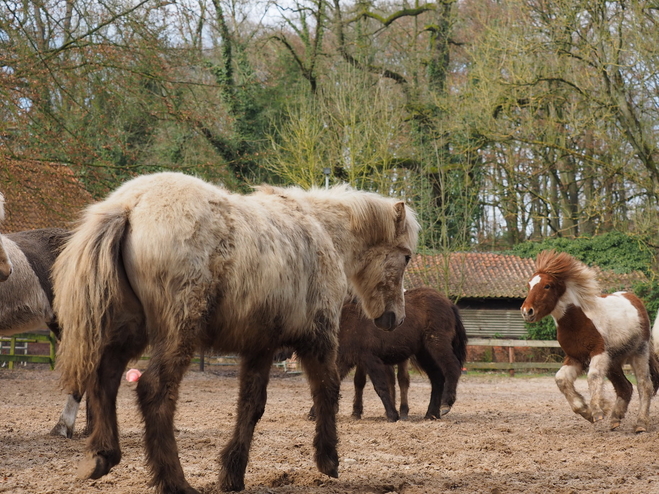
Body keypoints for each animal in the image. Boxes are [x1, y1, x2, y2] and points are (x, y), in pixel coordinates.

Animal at [54, 173, 420, 494]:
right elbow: (327, 391)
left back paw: (102, 457)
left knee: (104, 378)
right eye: (406, 257)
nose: (395, 318)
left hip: (128, 330)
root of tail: (130, 205)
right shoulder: (319, 339)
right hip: (176, 334)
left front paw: (232, 473)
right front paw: (328, 460)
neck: (320, 229)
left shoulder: (260, 347)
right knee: (154, 390)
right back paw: (175, 482)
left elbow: (251, 405)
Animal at [336, 288, 464, 422]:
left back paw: (445, 404)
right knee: (437, 378)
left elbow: (381, 386)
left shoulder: (370, 359)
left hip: (437, 344)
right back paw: (431, 414)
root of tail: (449, 303)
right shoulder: (348, 360)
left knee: (452, 367)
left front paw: (392, 415)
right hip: (424, 353)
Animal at [520, 251, 659, 432]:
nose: (526, 311)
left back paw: (641, 424)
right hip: (613, 362)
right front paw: (585, 411)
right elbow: (561, 379)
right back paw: (615, 418)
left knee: (644, 386)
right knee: (625, 387)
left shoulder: (598, 352)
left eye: (547, 286)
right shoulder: (575, 357)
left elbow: (592, 376)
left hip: (638, 353)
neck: (577, 321)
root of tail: (634, 300)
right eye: (529, 285)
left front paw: (598, 410)